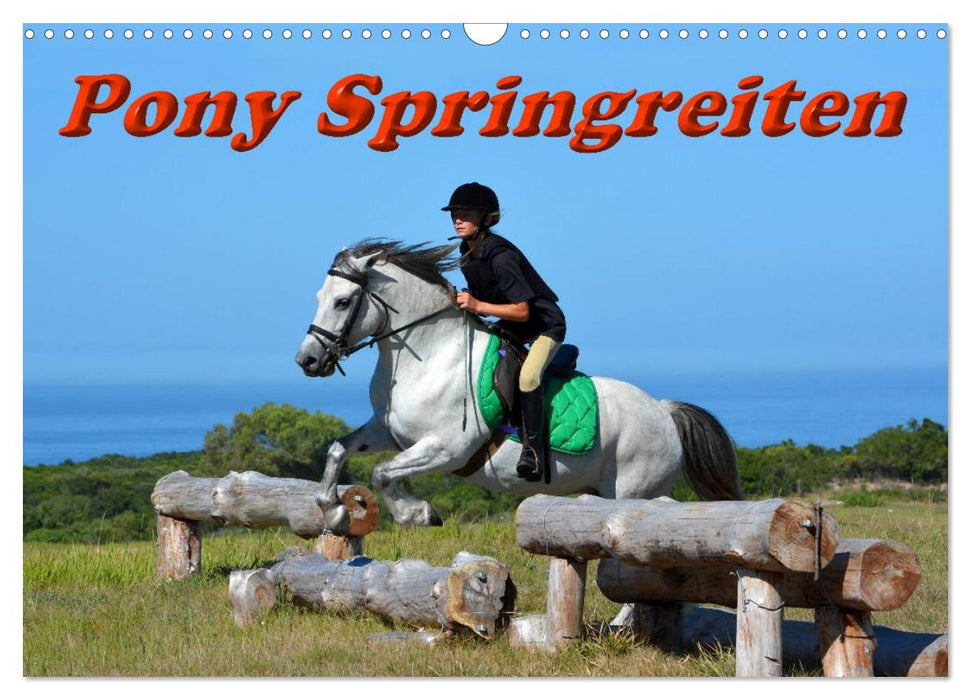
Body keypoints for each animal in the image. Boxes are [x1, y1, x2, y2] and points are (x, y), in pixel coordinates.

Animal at [294, 239, 743, 531]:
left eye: (342, 302)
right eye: (318, 296)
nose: (307, 360)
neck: (430, 356)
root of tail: (664, 411)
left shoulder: (447, 448)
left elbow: (383, 474)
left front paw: (418, 514)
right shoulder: (389, 431)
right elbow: (338, 451)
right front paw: (333, 512)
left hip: (633, 491)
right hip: (603, 491)